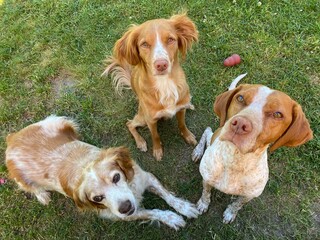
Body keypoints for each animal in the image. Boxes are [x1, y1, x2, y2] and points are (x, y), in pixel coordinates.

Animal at [103, 12, 198, 159]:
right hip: (142, 117)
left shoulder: (180, 110)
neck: (164, 83)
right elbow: (155, 136)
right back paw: (140, 142)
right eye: (145, 44)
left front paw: (188, 136)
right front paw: (157, 151)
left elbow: (182, 125)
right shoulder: (151, 121)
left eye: (170, 39)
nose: (161, 65)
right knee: (130, 123)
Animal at [192, 74, 312, 224]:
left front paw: (230, 213)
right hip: (214, 135)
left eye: (278, 114)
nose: (239, 124)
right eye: (240, 98)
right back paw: (197, 152)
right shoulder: (207, 178)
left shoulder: (250, 195)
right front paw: (203, 204)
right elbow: (206, 193)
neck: (236, 160)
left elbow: (238, 204)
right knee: (207, 130)